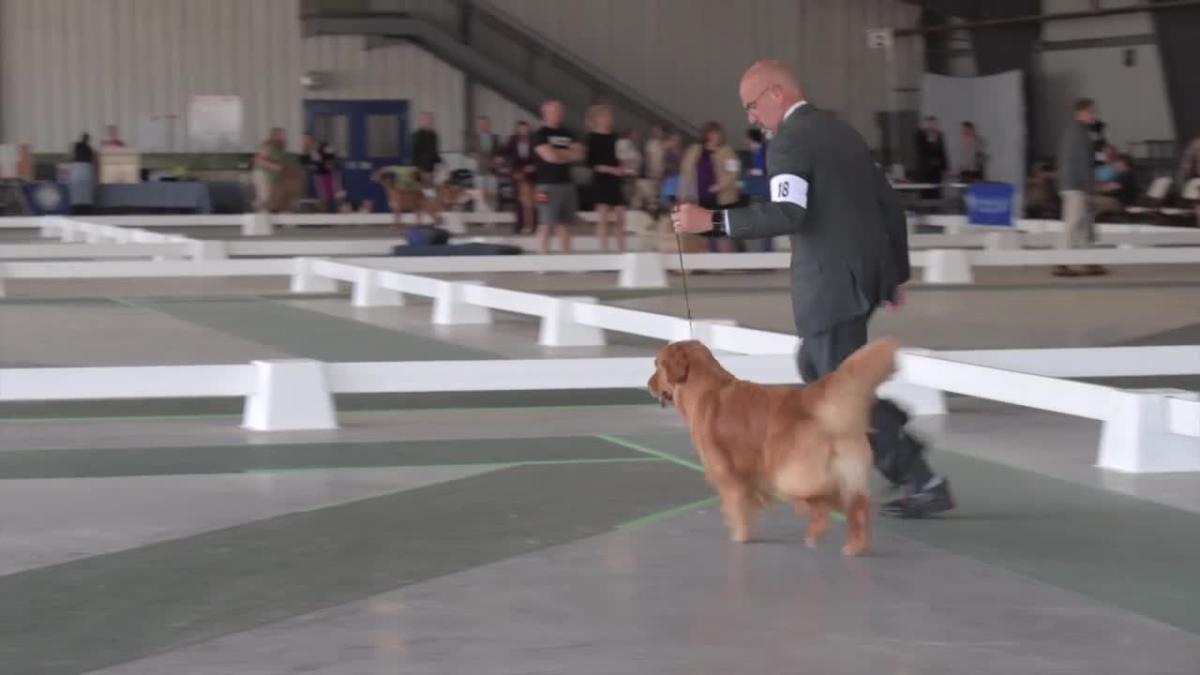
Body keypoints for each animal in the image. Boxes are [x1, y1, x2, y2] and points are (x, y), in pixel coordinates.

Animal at [648, 336, 902, 552]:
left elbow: (737, 506)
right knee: (858, 505)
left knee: (821, 497)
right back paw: (855, 546)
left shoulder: (727, 471)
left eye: (657, 365)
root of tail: (814, 401)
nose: (649, 384)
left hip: (792, 471)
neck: (705, 388)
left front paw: (740, 535)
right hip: (848, 471)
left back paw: (818, 533)